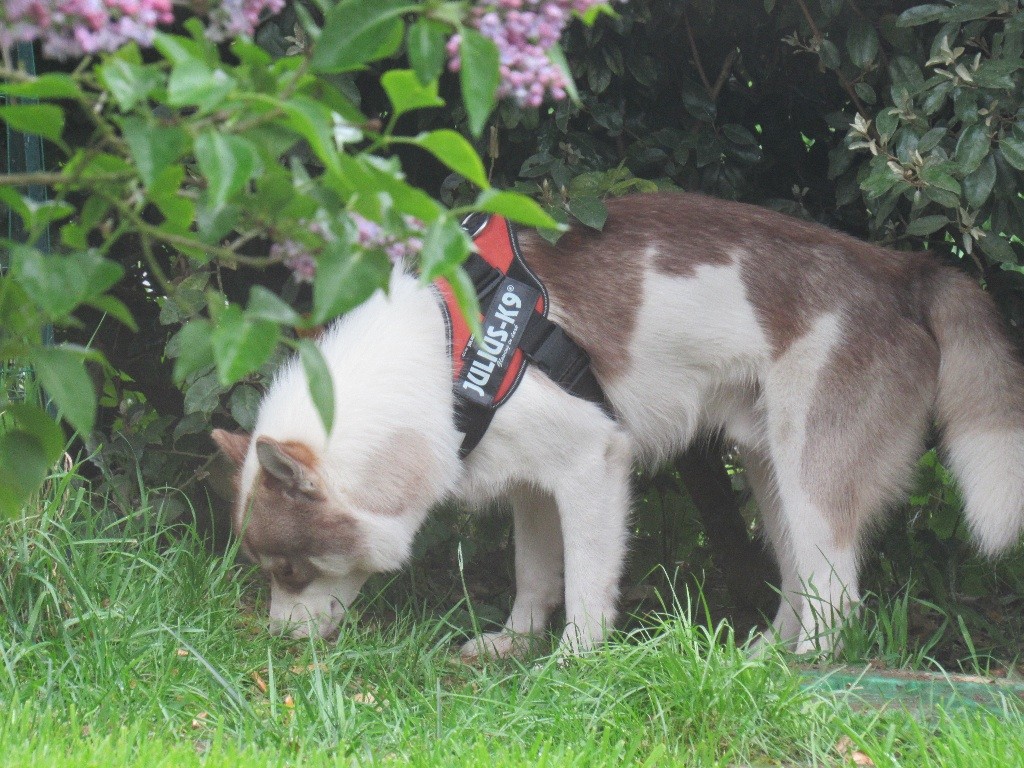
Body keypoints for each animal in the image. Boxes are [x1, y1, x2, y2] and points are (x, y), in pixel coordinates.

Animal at [211, 192, 1024, 655]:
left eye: (291, 570)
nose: (277, 645)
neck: (445, 354)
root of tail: (902, 269)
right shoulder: (532, 484)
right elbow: (534, 573)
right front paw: (514, 644)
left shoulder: (592, 466)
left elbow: (585, 585)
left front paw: (575, 660)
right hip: (773, 475)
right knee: (800, 584)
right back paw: (758, 661)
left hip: (814, 475)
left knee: (838, 603)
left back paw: (797, 674)